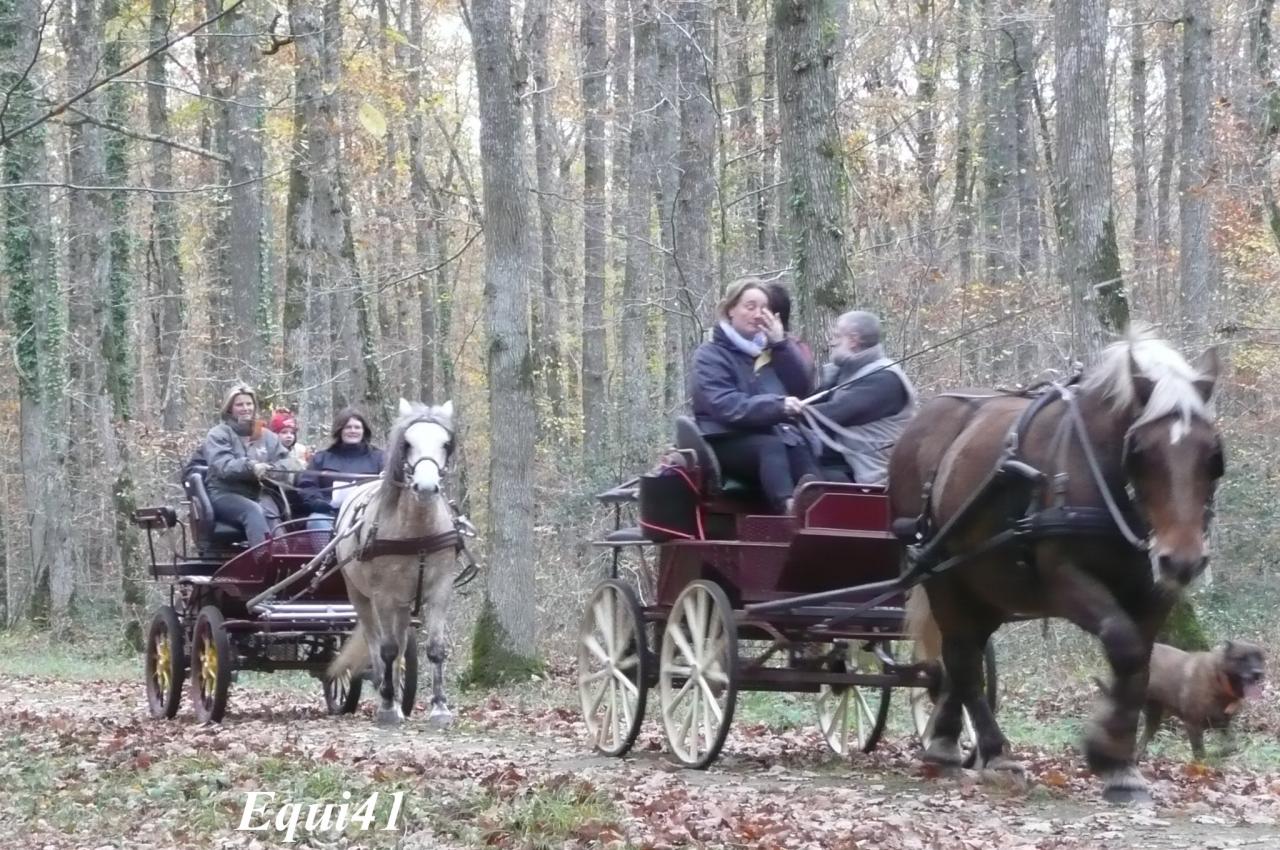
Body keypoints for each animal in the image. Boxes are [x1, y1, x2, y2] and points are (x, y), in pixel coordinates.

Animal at [890, 332, 1218, 803]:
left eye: (1212, 454)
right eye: (1140, 452)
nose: (1183, 559)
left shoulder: (1155, 592)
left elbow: (1140, 663)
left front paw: (1121, 765)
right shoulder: (1066, 578)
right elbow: (1124, 645)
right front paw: (1106, 753)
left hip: (985, 584)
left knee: (962, 655)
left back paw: (946, 743)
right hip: (941, 573)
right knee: (962, 655)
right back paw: (990, 752)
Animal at [1136, 640, 1264, 757]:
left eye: (1260, 658)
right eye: (1242, 658)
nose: (1258, 673)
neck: (1218, 679)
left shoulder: (1224, 724)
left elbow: (1232, 745)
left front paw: (1217, 752)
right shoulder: (1193, 724)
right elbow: (1200, 754)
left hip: (1154, 716)